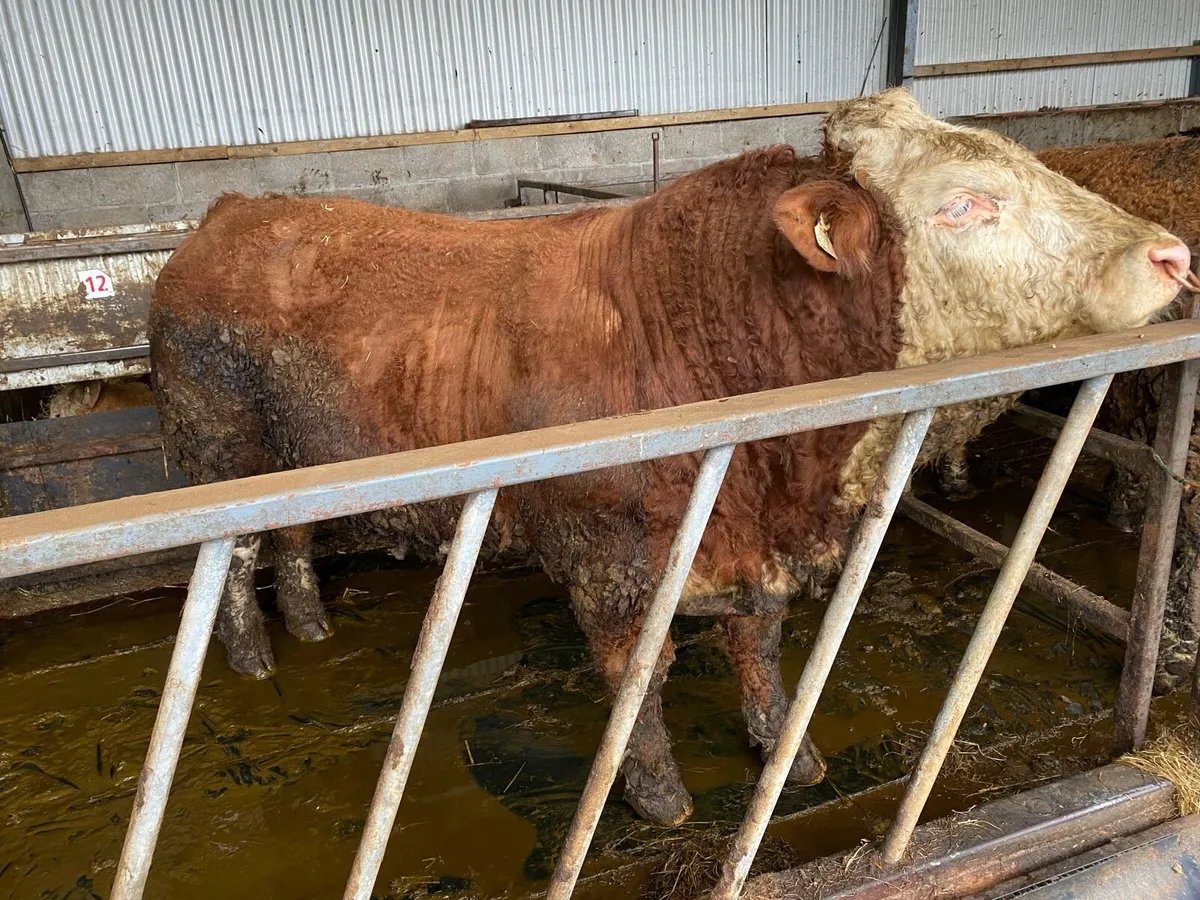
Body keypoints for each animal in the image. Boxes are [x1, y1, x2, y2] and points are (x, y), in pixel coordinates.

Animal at [149, 89, 1191, 826]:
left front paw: (789, 757)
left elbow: (760, 647)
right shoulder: (611, 566)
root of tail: (229, 212)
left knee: (290, 545)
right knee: (234, 566)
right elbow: (637, 684)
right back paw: (252, 660)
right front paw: (657, 798)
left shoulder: (753, 551)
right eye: (966, 203)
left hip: (295, 456)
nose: (1173, 256)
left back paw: (311, 628)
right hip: (215, 451)